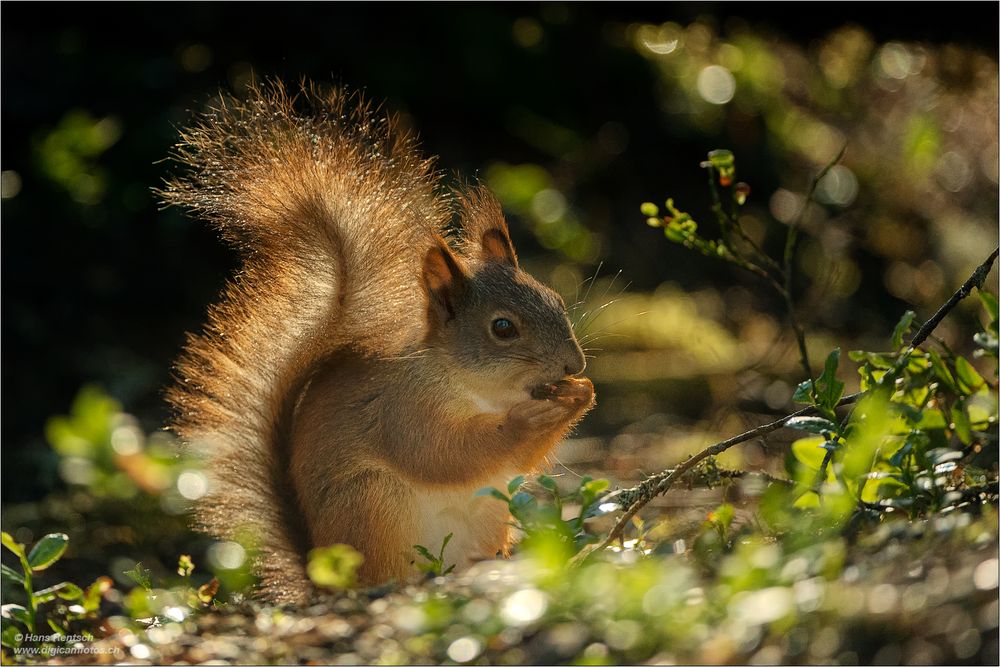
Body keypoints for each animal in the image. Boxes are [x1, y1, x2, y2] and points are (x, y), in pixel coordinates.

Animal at [162, 81, 592, 604]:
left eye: (556, 298)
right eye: (503, 328)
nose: (573, 365)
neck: (480, 391)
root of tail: (321, 575)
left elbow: (518, 460)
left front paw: (581, 395)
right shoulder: (400, 410)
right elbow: (442, 454)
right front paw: (526, 420)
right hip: (372, 505)